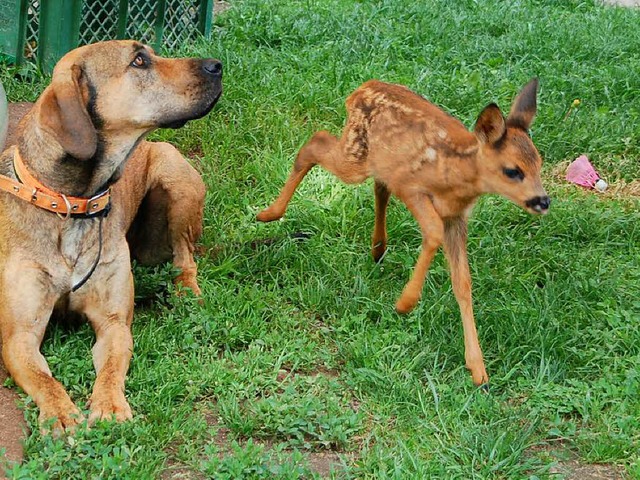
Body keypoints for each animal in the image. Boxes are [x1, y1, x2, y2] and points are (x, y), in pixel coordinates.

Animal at [0, 40, 222, 432]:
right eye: (139, 60)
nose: (217, 65)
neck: (72, 204)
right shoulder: (19, 336)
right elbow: (44, 378)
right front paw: (61, 413)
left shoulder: (114, 323)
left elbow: (112, 368)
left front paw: (110, 405)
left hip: (176, 177)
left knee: (185, 257)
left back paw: (187, 293)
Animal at [260, 79, 552, 386]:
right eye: (512, 171)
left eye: (539, 163)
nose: (543, 201)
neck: (456, 177)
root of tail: (360, 89)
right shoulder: (411, 186)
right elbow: (433, 233)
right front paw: (405, 303)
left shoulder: (456, 218)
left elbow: (463, 282)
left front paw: (478, 369)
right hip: (356, 156)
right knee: (315, 142)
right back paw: (268, 213)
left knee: (377, 185)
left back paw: (377, 248)